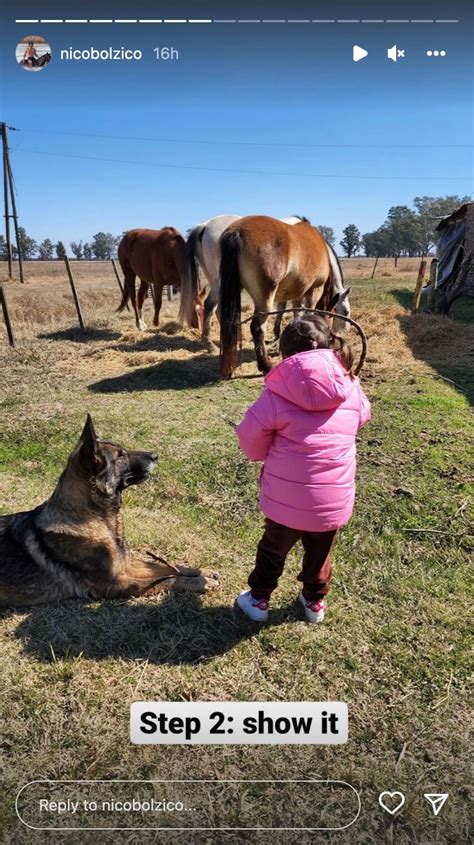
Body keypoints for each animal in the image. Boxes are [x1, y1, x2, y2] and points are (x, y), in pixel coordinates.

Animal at [0, 418, 220, 608]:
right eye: (120, 456)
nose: (155, 455)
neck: (97, 519)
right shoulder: (115, 584)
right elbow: (165, 579)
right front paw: (199, 582)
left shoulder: (126, 564)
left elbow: (168, 567)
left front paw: (203, 572)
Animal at [219, 216, 340, 378]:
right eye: (332, 316)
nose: (331, 340)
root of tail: (237, 231)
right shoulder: (314, 290)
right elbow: (309, 313)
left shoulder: (297, 294)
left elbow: (297, 314)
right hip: (265, 300)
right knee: (257, 328)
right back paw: (265, 365)